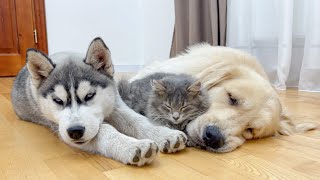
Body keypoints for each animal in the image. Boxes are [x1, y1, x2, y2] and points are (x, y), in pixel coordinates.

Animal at [11, 37, 186, 166]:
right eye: (57, 100)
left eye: (89, 95)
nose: (75, 131)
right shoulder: (60, 127)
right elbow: (105, 131)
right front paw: (132, 146)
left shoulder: (116, 105)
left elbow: (138, 121)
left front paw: (164, 134)